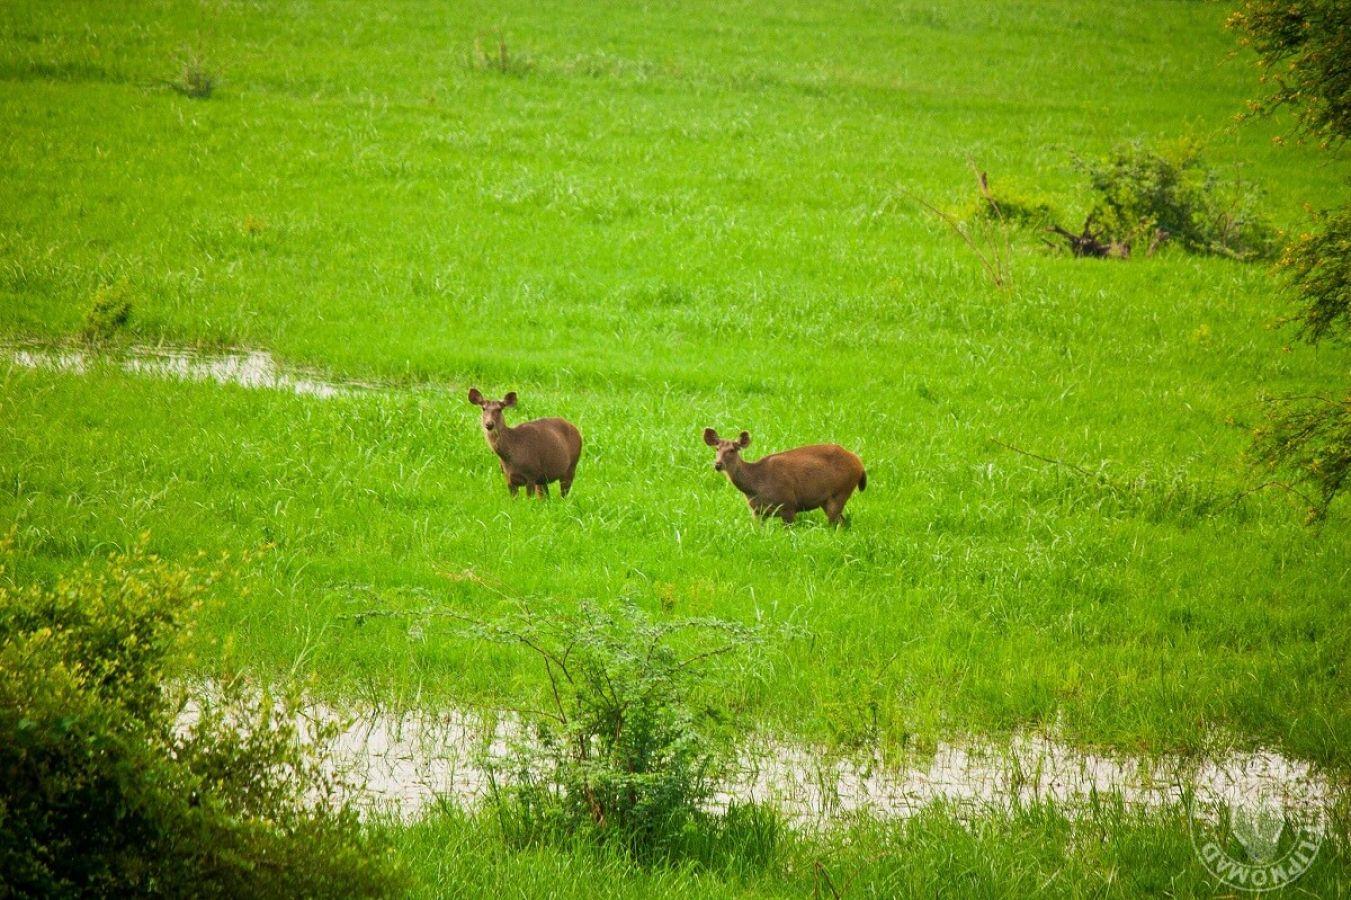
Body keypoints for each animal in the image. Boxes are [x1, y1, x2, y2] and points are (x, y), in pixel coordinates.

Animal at [707, 427, 864, 527]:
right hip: (828, 500)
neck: (755, 485)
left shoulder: (788, 504)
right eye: (717, 449)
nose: (718, 464)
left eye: (732, 450)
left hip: (841, 491)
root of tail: (860, 465)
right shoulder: (757, 512)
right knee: (843, 522)